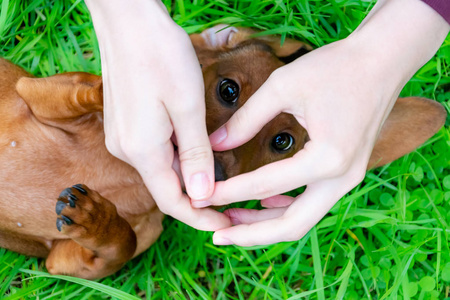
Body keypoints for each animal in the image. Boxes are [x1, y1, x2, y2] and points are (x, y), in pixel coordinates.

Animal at [0, 25, 446, 278]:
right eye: (228, 90)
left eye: (283, 141)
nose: (209, 173)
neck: (128, 175)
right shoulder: (35, 92)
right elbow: (91, 88)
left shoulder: (72, 262)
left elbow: (119, 243)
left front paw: (96, 218)